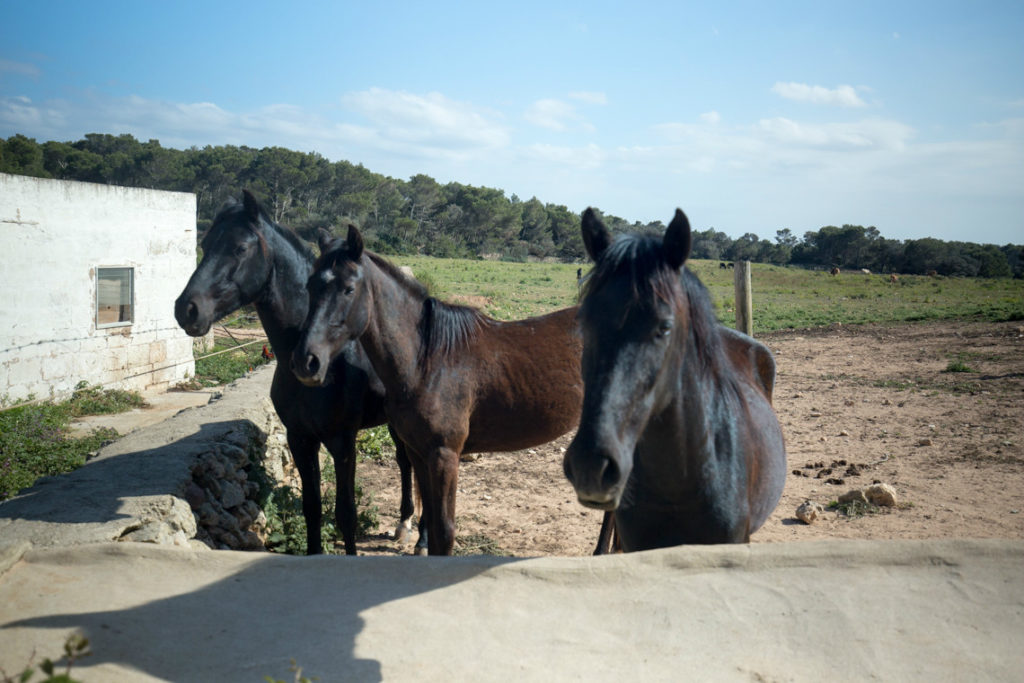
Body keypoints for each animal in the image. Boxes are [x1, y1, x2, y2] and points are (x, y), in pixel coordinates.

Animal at [174, 191, 417, 557]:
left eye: (240, 248)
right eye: (205, 243)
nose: (186, 309)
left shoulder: (342, 441)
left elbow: (346, 513)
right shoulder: (300, 438)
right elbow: (312, 508)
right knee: (405, 461)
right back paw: (404, 524)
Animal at [292, 227, 589, 557]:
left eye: (348, 289)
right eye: (310, 286)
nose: (306, 361)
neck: (428, 362)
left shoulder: (445, 456)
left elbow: (444, 533)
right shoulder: (418, 453)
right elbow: (432, 529)